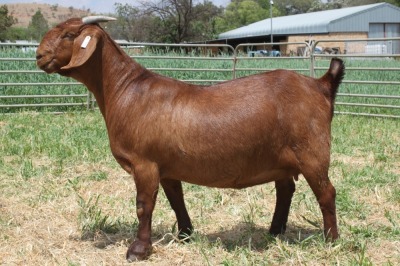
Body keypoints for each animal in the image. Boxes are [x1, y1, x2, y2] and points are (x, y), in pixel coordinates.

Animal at [36, 16, 346, 262]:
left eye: (69, 35)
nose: (39, 55)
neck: (126, 90)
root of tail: (320, 84)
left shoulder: (145, 163)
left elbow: (143, 205)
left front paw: (138, 249)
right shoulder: (166, 166)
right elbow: (176, 199)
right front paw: (185, 233)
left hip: (312, 151)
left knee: (326, 192)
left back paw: (331, 239)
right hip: (282, 158)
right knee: (285, 190)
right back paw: (274, 231)